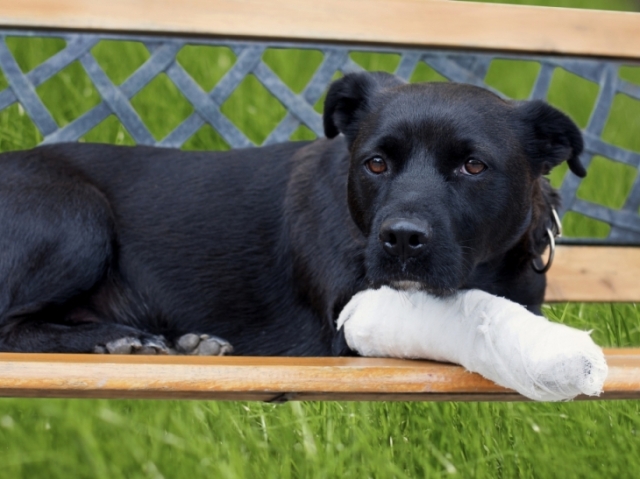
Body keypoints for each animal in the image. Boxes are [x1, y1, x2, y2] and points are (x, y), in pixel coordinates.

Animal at [0, 71, 584, 356]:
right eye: (375, 163)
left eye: (473, 165)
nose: (400, 239)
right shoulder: (349, 325)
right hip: (79, 217)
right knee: (10, 326)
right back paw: (116, 338)